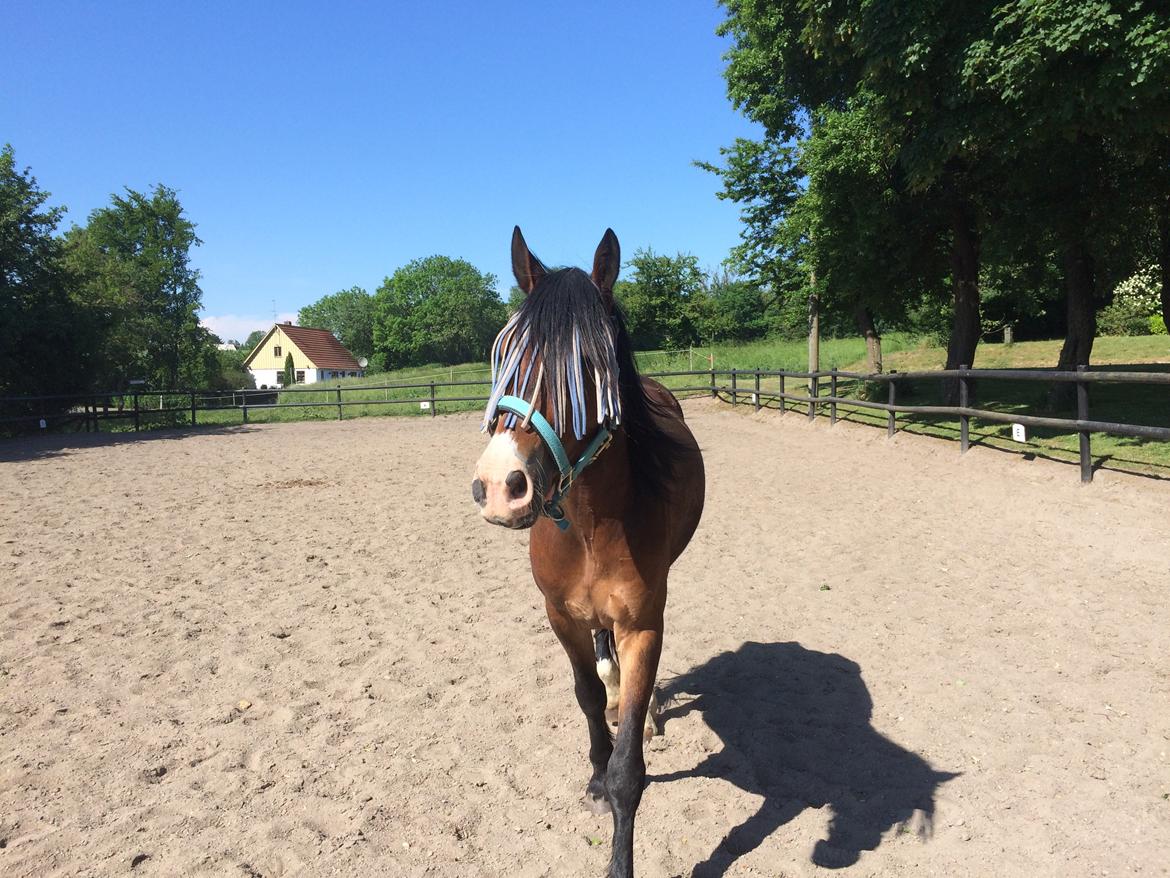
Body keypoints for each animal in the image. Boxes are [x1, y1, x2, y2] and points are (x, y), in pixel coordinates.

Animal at [472, 228, 702, 878]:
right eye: (504, 354)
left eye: (588, 368)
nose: (499, 486)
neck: (592, 525)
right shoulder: (561, 617)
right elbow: (588, 696)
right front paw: (596, 774)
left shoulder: (643, 625)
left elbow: (630, 769)